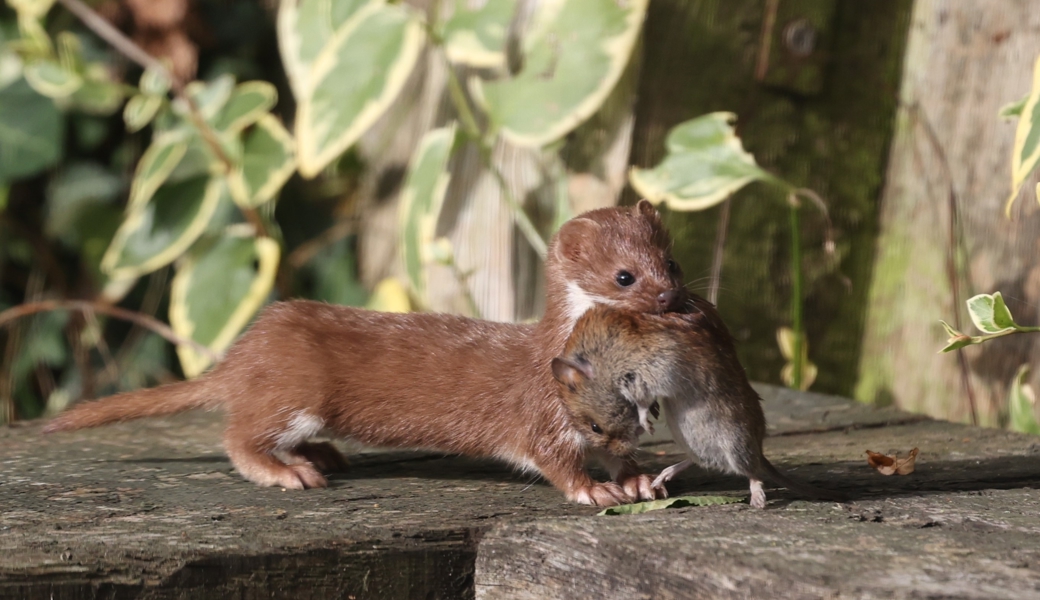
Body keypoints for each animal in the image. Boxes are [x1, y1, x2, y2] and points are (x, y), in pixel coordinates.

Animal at [44, 201, 686, 505]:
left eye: (672, 262)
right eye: (625, 276)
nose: (670, 296)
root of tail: (246, 347)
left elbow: (616, 449)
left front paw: (634, 479)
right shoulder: (546, 411)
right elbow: (553, 458)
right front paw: (594, 490)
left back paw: (324, 454)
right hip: (295, 391)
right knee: (239, 436)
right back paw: (290, 471)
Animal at [553, 301, 844, 507]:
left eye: (595, 427)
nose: (623, 454)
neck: (602, 355)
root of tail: (759, 450)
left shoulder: (646, 372)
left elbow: (643, 403)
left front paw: (646, 422)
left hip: (733, 442)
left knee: (751, 471)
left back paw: (757, 498)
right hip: (690, 437)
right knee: (700, 460)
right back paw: (662, 476)